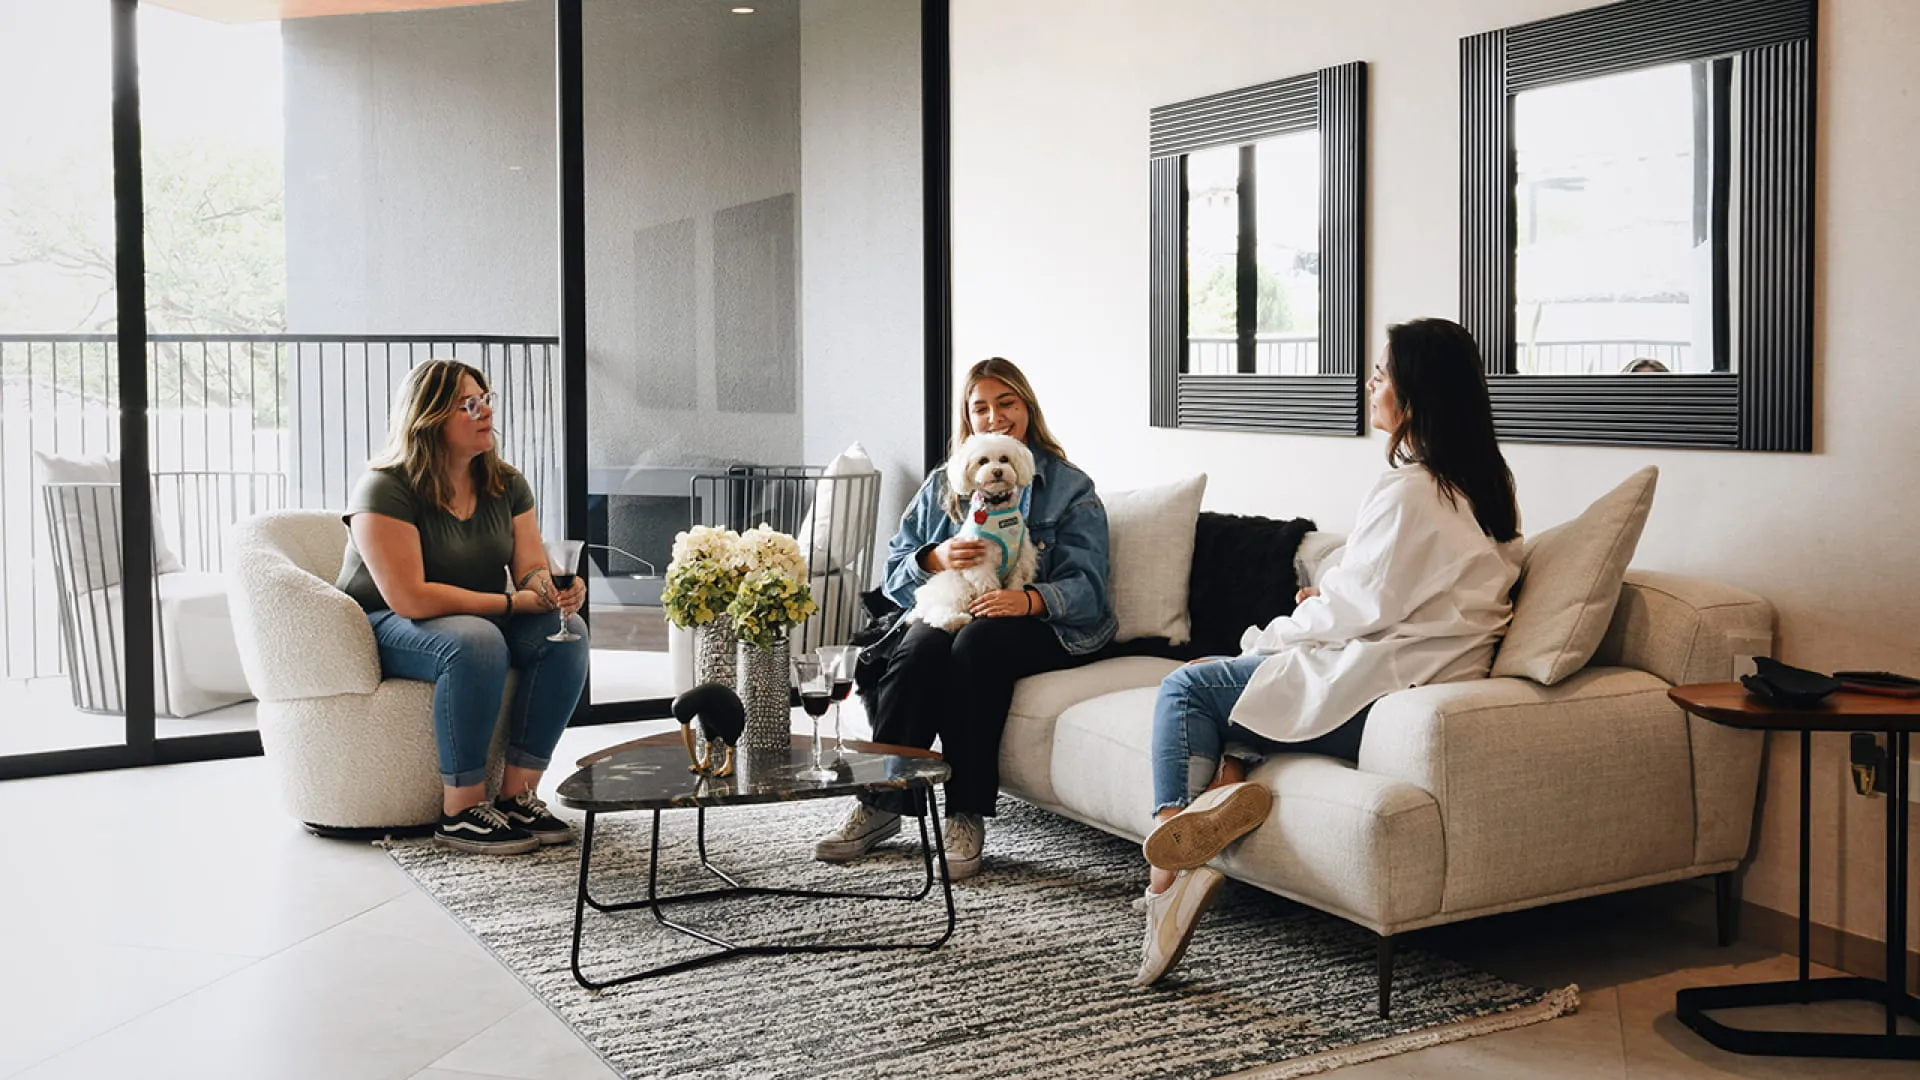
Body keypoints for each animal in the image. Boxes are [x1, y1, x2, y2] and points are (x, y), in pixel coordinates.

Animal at [906, 430, 1044, 630]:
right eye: (983, 461)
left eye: (1004, 459)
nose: (997, 471)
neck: (997, 507)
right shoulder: (979, 560)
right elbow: (987, 584)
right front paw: (990, 601)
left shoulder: (1022, 555)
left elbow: (1017, 579)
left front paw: (1012, 596)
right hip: (955, 584)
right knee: (936, 615)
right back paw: (957, 619)